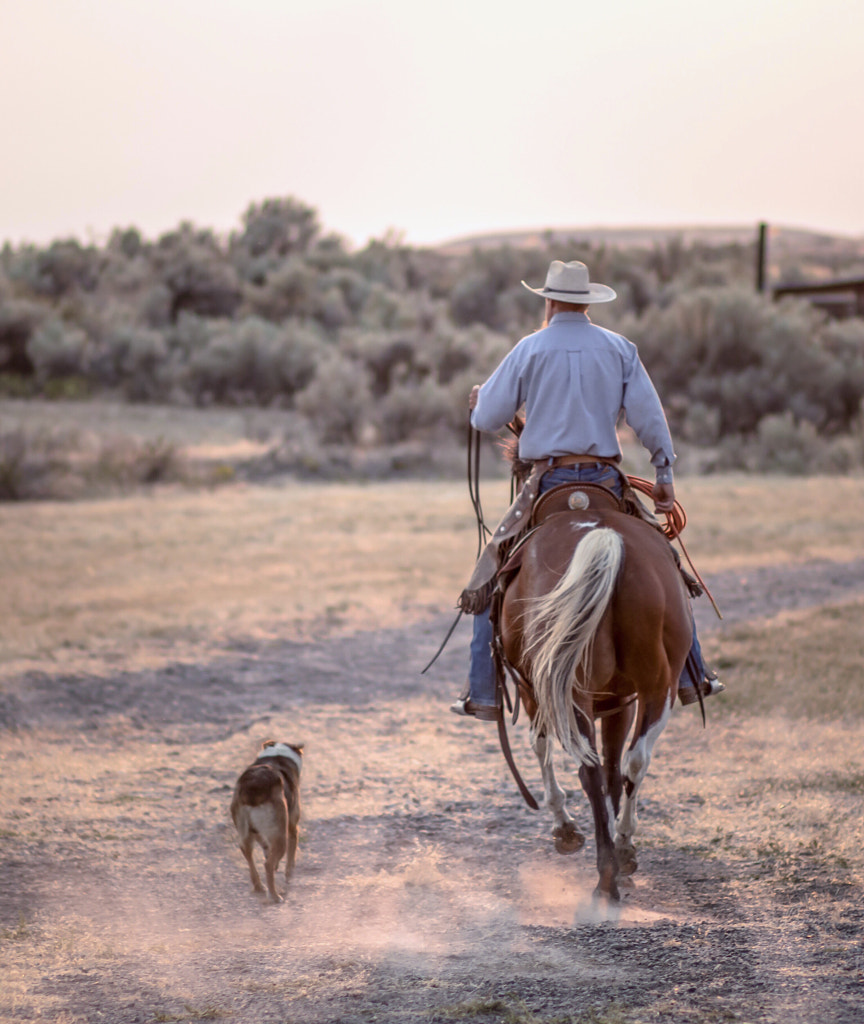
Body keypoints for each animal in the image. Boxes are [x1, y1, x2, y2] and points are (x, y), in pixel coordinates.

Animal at [229, 741, 303, 901]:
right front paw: (289, 874)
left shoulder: (257, 831)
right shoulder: (292, 828)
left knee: (248, 855)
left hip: (245, 833)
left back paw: (259, 887)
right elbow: (291, 857)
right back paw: (275, 896)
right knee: (267, 865)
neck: (277, 754)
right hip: (281, 836)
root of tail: (251, 790)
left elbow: (265, 845)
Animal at [495, 483, 692, 901]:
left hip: (572, 692)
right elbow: (615, 768)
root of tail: (603, 538)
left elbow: (541, 746)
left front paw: (564, 828)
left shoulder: (536, 691)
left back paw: (608, 871)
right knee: (631, 762)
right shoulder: (619, 702)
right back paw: (619, 857)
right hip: (656, 686)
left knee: (591, 767)